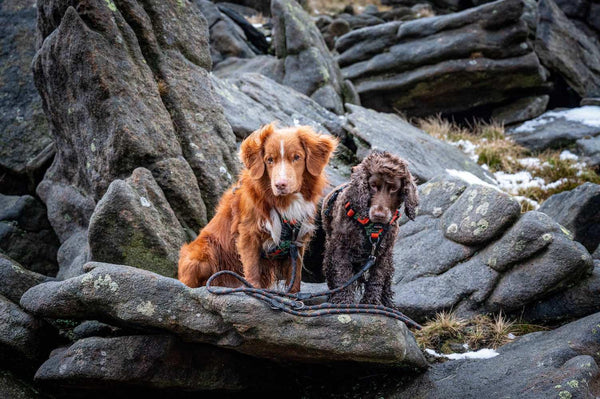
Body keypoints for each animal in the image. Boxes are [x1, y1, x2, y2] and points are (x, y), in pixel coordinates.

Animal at [178, 123, 338, 292]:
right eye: (269, 160)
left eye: (296, 157)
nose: (280, 185)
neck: (283, 202)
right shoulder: (249, 232)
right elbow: (252, 266)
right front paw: (253, 289)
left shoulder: (298, 238)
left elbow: (295, 274)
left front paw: (294, 294)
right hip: (203, 253)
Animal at [324, 151, 418, 306]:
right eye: (373, 185)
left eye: (394, 188)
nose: (379, 215)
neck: (373, 226)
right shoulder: (341, 249)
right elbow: (343, 276)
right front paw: (344, 301)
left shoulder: (383, 253)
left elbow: (377, 278)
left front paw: (371, 302)